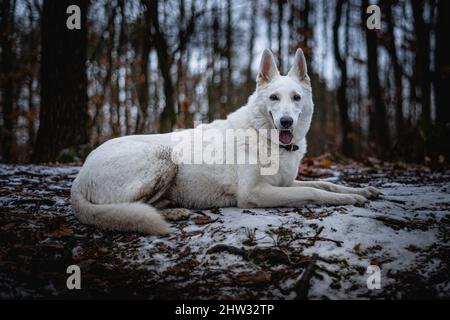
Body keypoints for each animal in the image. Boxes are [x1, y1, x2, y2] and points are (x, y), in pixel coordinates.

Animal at [70, 49, 380, 235]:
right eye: (274, 98)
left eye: (296, 98)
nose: (286, 122)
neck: (265, 136)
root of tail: (79, 178)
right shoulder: (255, 193)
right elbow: (315, 192)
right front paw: (349, 198)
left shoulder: (286, 183)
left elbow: (325, 184)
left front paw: (361, 191)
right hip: (163, 157)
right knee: (131, 209)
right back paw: (171, 213)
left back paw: (175, 209)